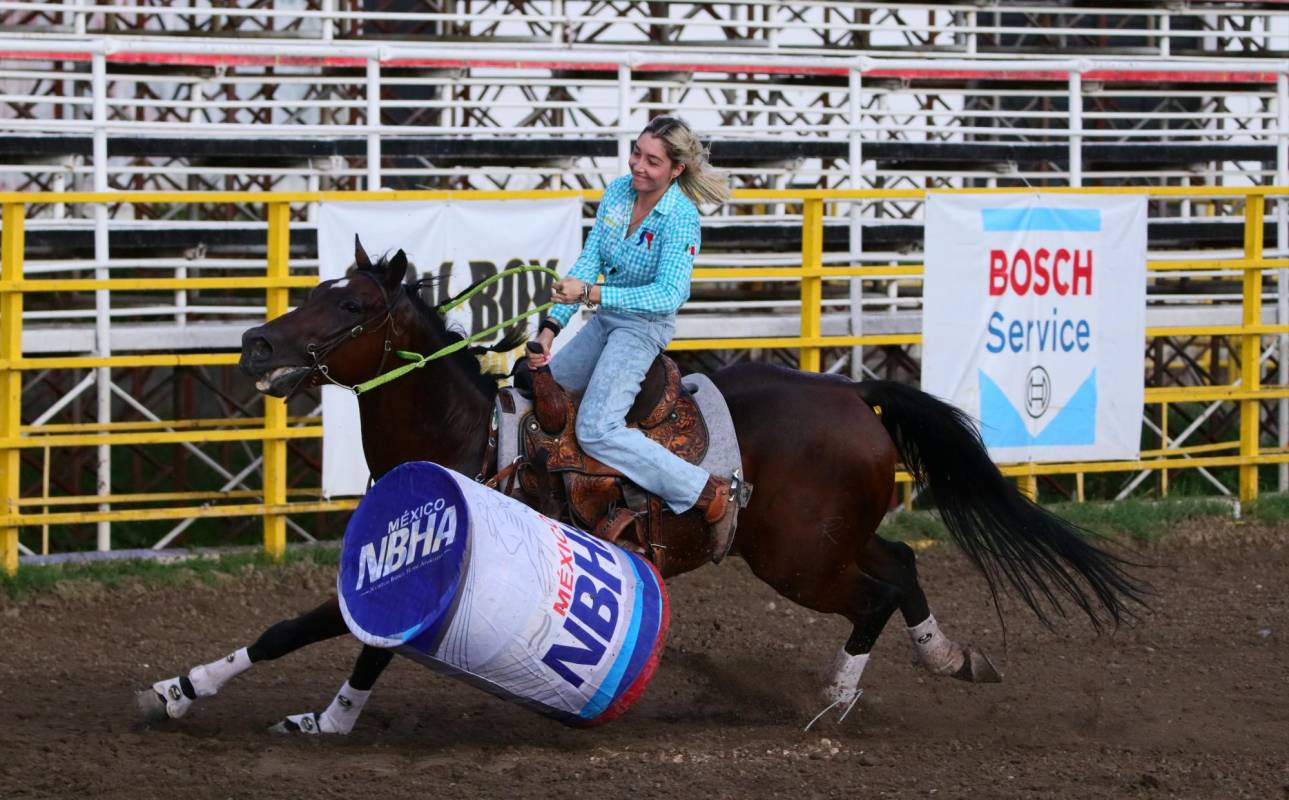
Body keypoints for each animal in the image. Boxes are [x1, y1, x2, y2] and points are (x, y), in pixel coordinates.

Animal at [141, 239, 1149, 731]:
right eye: (314, 288)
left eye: (350, 305)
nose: (254, 346)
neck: (474, 439)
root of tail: (854, 393)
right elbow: (291, 628)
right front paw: (183, 690)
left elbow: (361, 644)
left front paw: (329, 720)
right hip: (823, 542)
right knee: (902, 564)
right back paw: (945, 659)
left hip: (798, 562)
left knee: (879, 590)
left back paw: (835, 699)